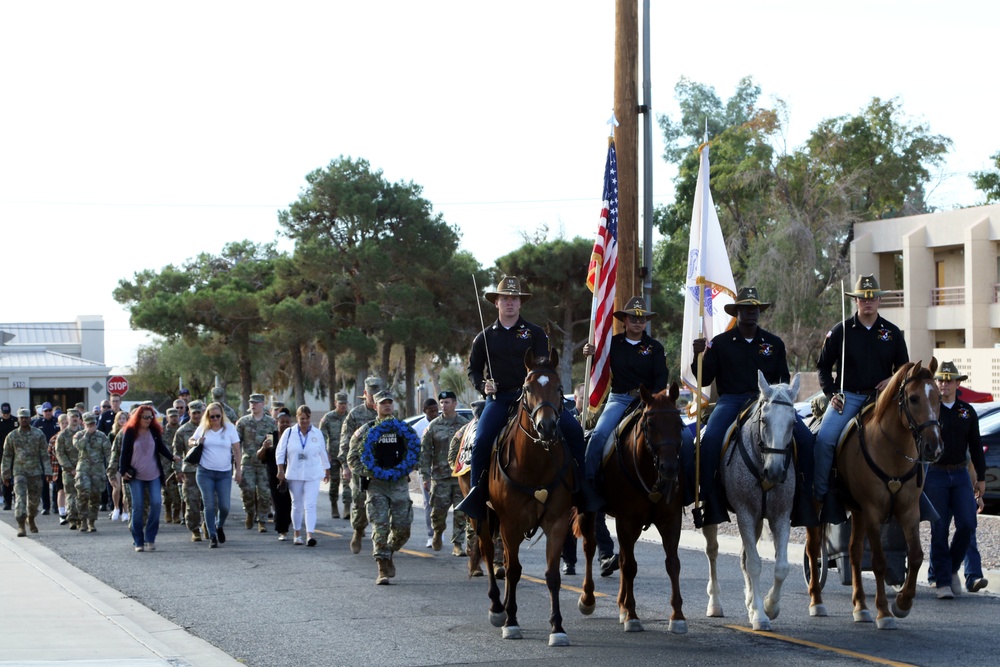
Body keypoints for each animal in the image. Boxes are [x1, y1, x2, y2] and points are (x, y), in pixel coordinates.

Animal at [478, 350, 580, 648]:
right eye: (527, 388)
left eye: (559, 388)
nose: (546, 426)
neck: (534, 463)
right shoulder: (510, 524)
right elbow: (513, 570)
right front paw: (511, 622)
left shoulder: (557, 522)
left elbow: (552, 575)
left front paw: (557, 627)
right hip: (482, 518)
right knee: (489, 555)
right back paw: (497, 609)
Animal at [572, 384, 688, 636]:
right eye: (650, 423)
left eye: (679, 423)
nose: (670, 468)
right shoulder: (626, 520)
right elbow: (630, 566)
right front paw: (633, 616)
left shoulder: (670, 520)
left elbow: (673, 564)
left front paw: (677, 616)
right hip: (591, 513)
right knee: (590, 548)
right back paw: (588, 599)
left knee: (623, 556)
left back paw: (621, 606)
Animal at [708, 374, 800, 636]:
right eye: (765, 420)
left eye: (793, 423)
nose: (775, 471)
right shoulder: (745, 513)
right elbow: (755, 564)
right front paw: (760, 616)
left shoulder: (780, 515)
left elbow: (781, 566)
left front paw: (769, 606)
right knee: (713, 551)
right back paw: (715, 603)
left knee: (742, 556)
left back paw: (750, 601)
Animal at [800, 358, 940, 628]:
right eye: (914, 398)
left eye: (938, 397)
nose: (934, 447)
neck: (892, 449)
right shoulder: (874, 512)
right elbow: (879, 562)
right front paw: (884, 612)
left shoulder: (909, 511)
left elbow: (916, 556)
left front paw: (902, 604)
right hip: (818, 506)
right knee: (813, 550)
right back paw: (816, 602)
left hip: (857, 511)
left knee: (854, 552)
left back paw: (860, 607)